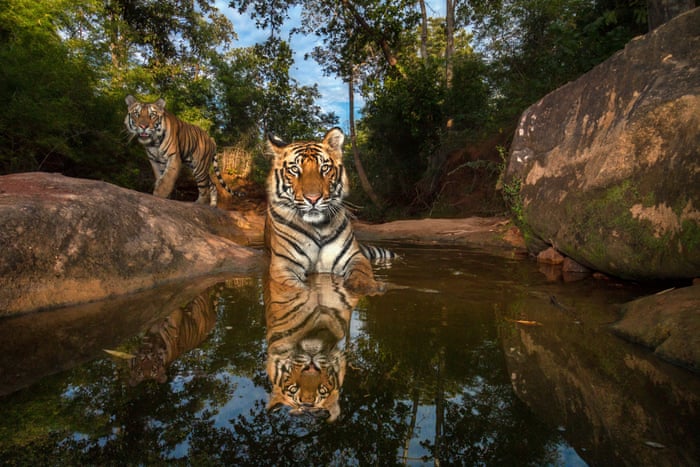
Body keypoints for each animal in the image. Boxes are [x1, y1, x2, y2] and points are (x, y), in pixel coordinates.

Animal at [264, 127, 395, 295]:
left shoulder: (354, 257)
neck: (318, 226)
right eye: (294, 169)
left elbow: (362, 273)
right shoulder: (283, 266)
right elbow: (296, 289)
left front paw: (369, 287)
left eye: (324, 168)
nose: (313, 198)